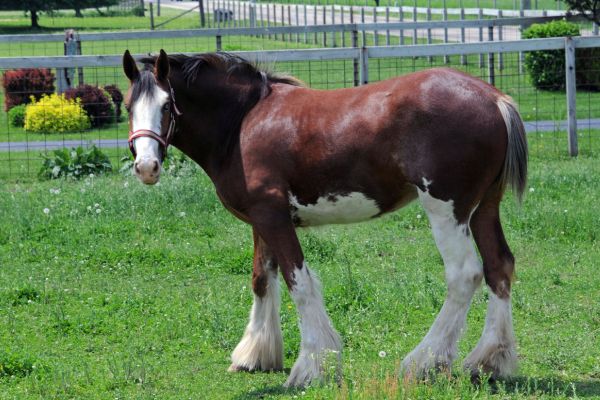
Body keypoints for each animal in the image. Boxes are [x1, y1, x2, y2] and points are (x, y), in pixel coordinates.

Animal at [120, 49, 524, 388]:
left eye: (168, 105)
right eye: (127, 107)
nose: (147, 167)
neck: (243, 122)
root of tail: (495, 98)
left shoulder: (273, 217)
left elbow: (299, 282)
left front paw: (314, 365)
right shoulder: (262, 220)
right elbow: (261, 279)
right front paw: (256, 354)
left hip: (446, 209)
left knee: (465, 275)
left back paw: (422, 362)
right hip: (484, 207)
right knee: (499, 266)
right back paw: (490, 360)